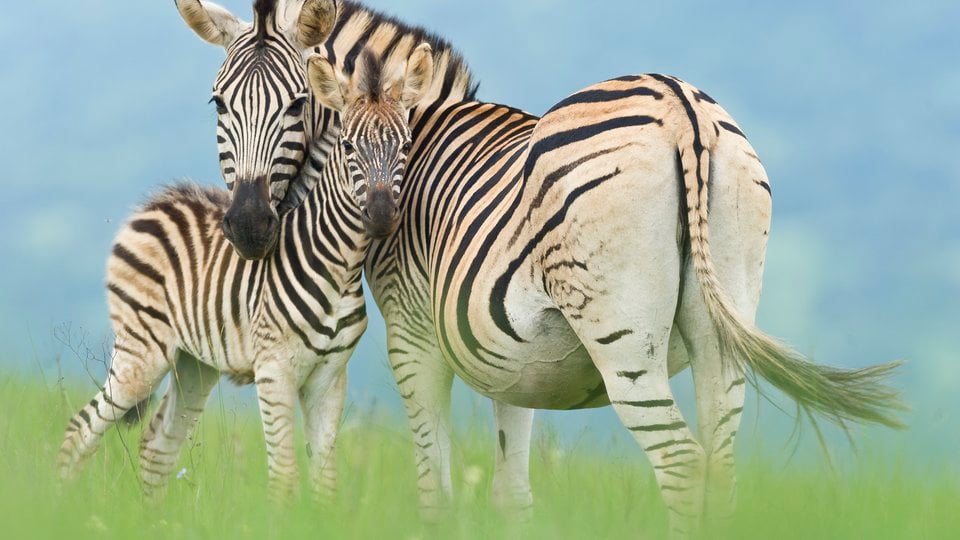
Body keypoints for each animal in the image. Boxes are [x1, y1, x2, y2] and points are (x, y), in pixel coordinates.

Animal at [57, 40, 436, 502]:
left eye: (406, 145)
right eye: (347, 147)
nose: (382, 217)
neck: (339, 264)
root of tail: (153, 203)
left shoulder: (330, 378)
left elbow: (325, 482)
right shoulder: (274, 371)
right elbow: (285, 477)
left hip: (193, 364)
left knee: (155, 447)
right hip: (141, 351)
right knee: (80, 430)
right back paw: (58, 504)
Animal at [181, 1, 905, 535]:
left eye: (295, 106)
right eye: (218, 104)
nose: (247, 227)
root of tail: (681, 107)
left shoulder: (413, 338)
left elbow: (436, 489)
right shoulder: (512, 362)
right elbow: (511, 491)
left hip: (622, 339)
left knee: (681, 465)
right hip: (723, 325)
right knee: (721, 471)